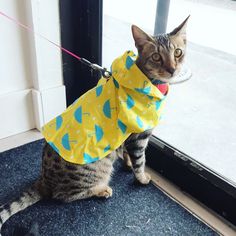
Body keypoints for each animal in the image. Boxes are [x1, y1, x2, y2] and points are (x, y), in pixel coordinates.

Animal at [0, 16, 189, 234]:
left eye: (178, 52)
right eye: (157, 57)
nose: (172, 69)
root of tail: (44, 179)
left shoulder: (127, 137)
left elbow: (127, 154)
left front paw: (127, 164)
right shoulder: (139, 135)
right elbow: (140, 160)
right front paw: (141, 178)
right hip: (97, 167)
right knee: (63, 196)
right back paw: (101, 190)